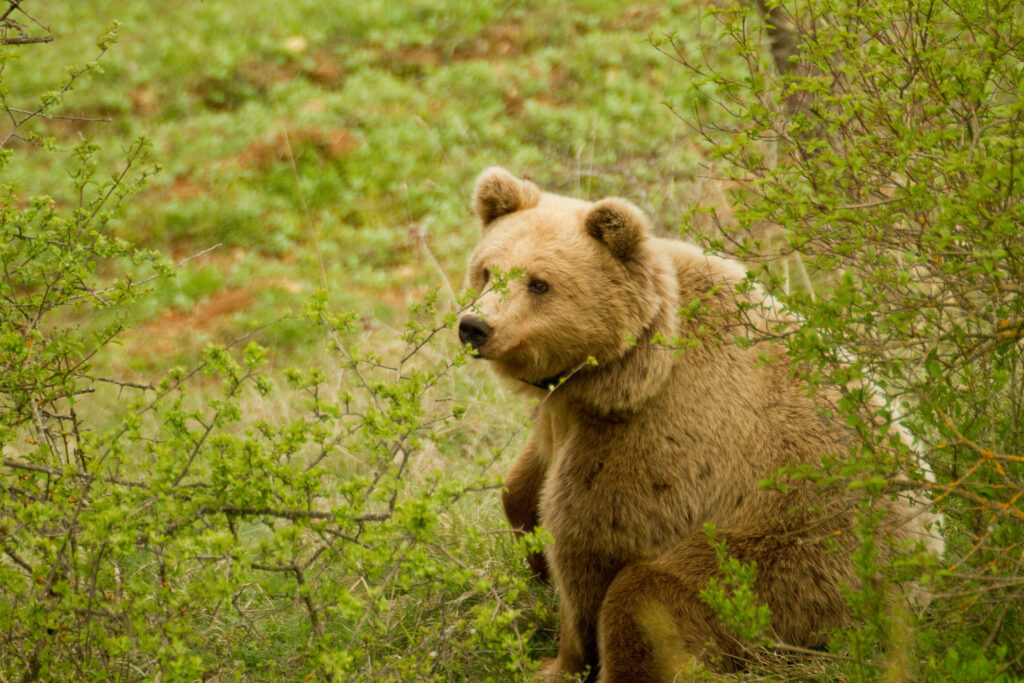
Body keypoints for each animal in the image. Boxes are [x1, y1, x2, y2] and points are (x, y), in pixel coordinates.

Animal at [457, 167, 943, 682]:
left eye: (539, 284)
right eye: (487, 271)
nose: (475, 326)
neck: (618, 371)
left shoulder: (655, 439)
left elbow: (587, 544)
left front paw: (559, 660)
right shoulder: (565, 416)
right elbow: (522, 488)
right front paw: (532, 552)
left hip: (796, 561)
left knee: (648, 592)